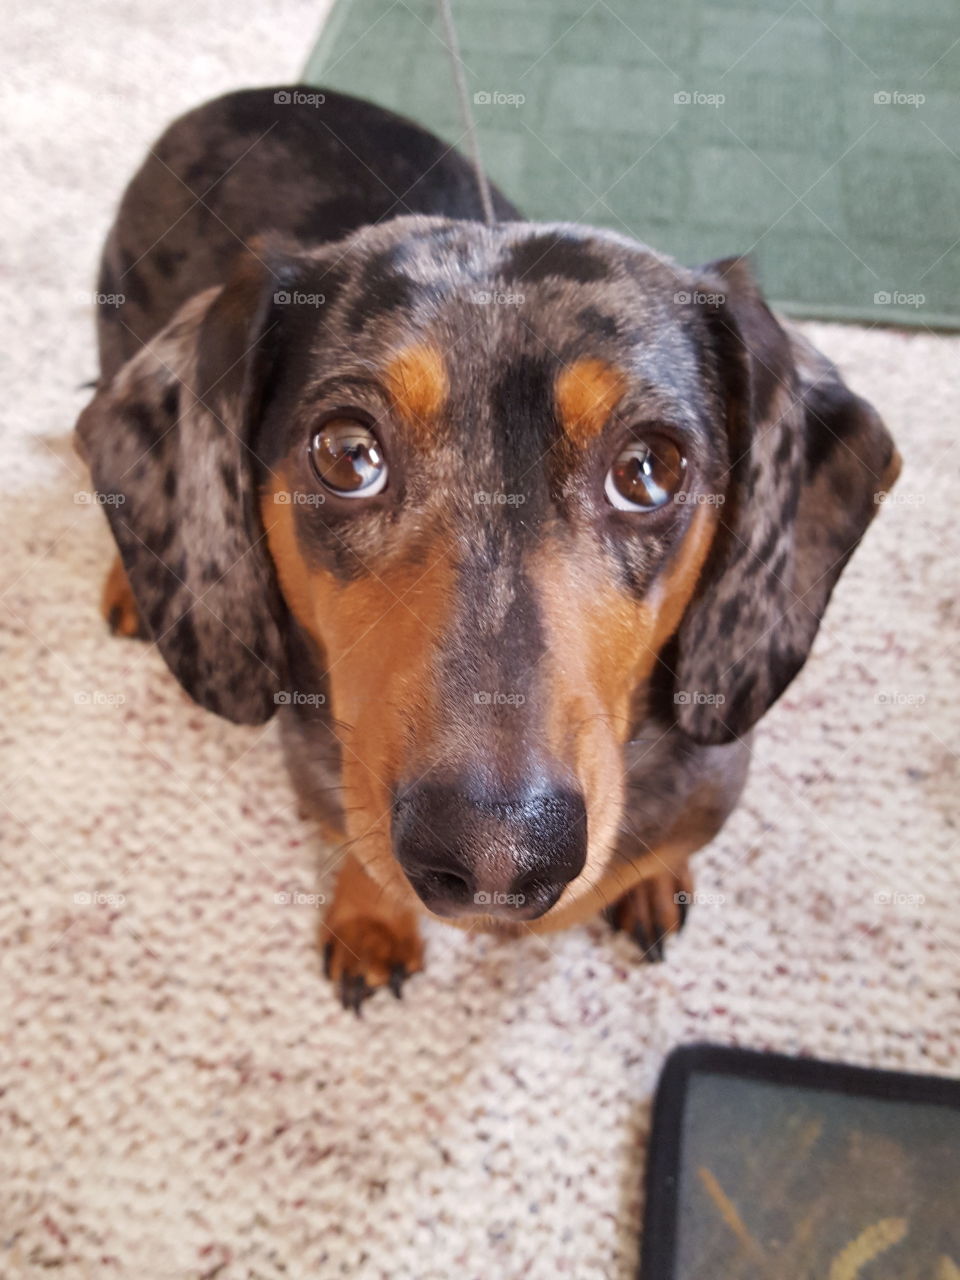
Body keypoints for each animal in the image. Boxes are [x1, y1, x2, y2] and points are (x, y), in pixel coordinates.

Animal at [77, 87, 901, 1008]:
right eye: (347, 454)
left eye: (648, 469)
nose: (495, 857)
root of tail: (231, 103)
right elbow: (359, 852)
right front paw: (369, 920)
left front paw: (654, 880)